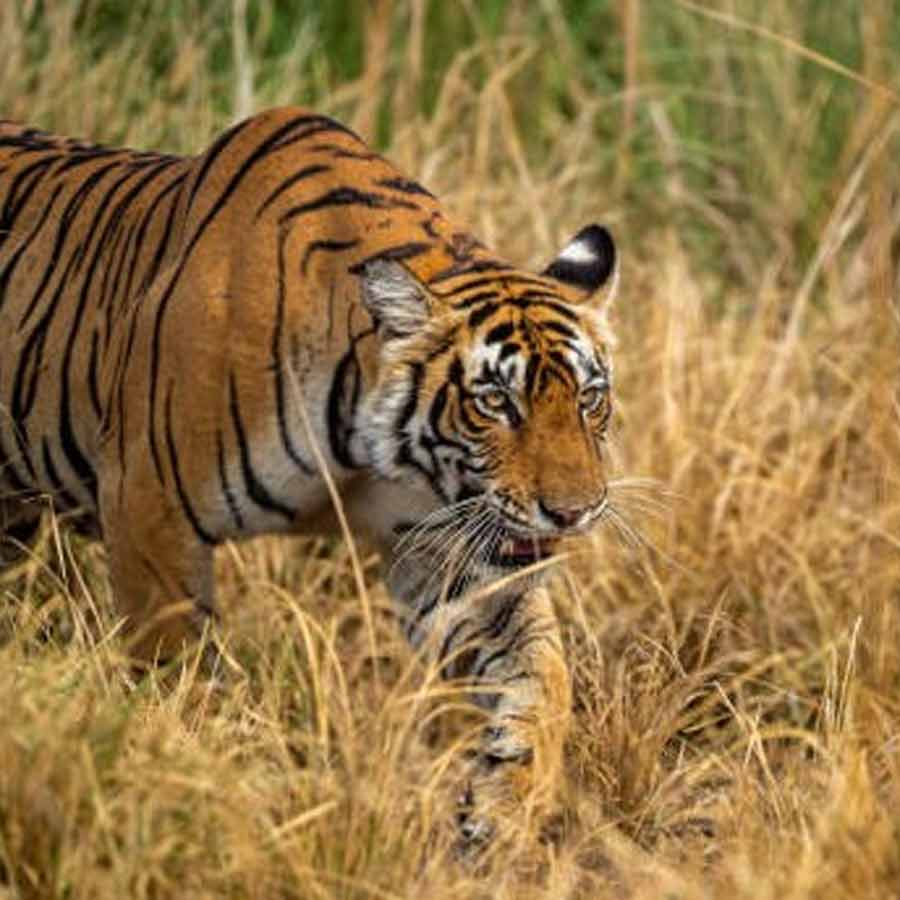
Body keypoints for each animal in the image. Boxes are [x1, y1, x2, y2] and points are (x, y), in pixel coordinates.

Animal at [0, 107, 618, 846]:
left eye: (590, 399)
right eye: (496, 401)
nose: (575, 511)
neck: (366, 448)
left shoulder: (447, 551)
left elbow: (541, 677)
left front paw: (505, 804)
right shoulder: (147, 509)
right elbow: (178, 673)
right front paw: (192, 784)